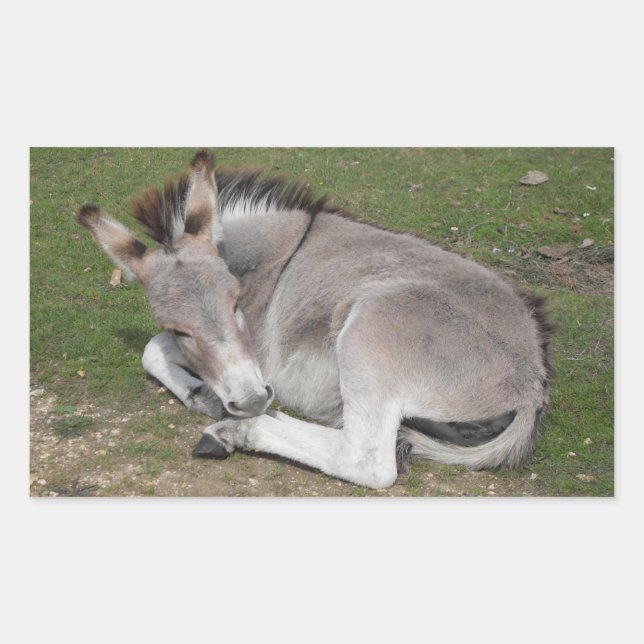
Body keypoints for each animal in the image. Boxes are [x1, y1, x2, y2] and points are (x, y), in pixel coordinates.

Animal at [77, 150, 553, 489]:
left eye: (235, 302)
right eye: (181, 327)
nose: (250, 399)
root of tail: (531, 386)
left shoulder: (258, 356)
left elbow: (151, 346)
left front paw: (210, 399)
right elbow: (154, 346)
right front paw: (199, 393)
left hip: (370, 330)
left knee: (366, 461)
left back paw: (240, 430)